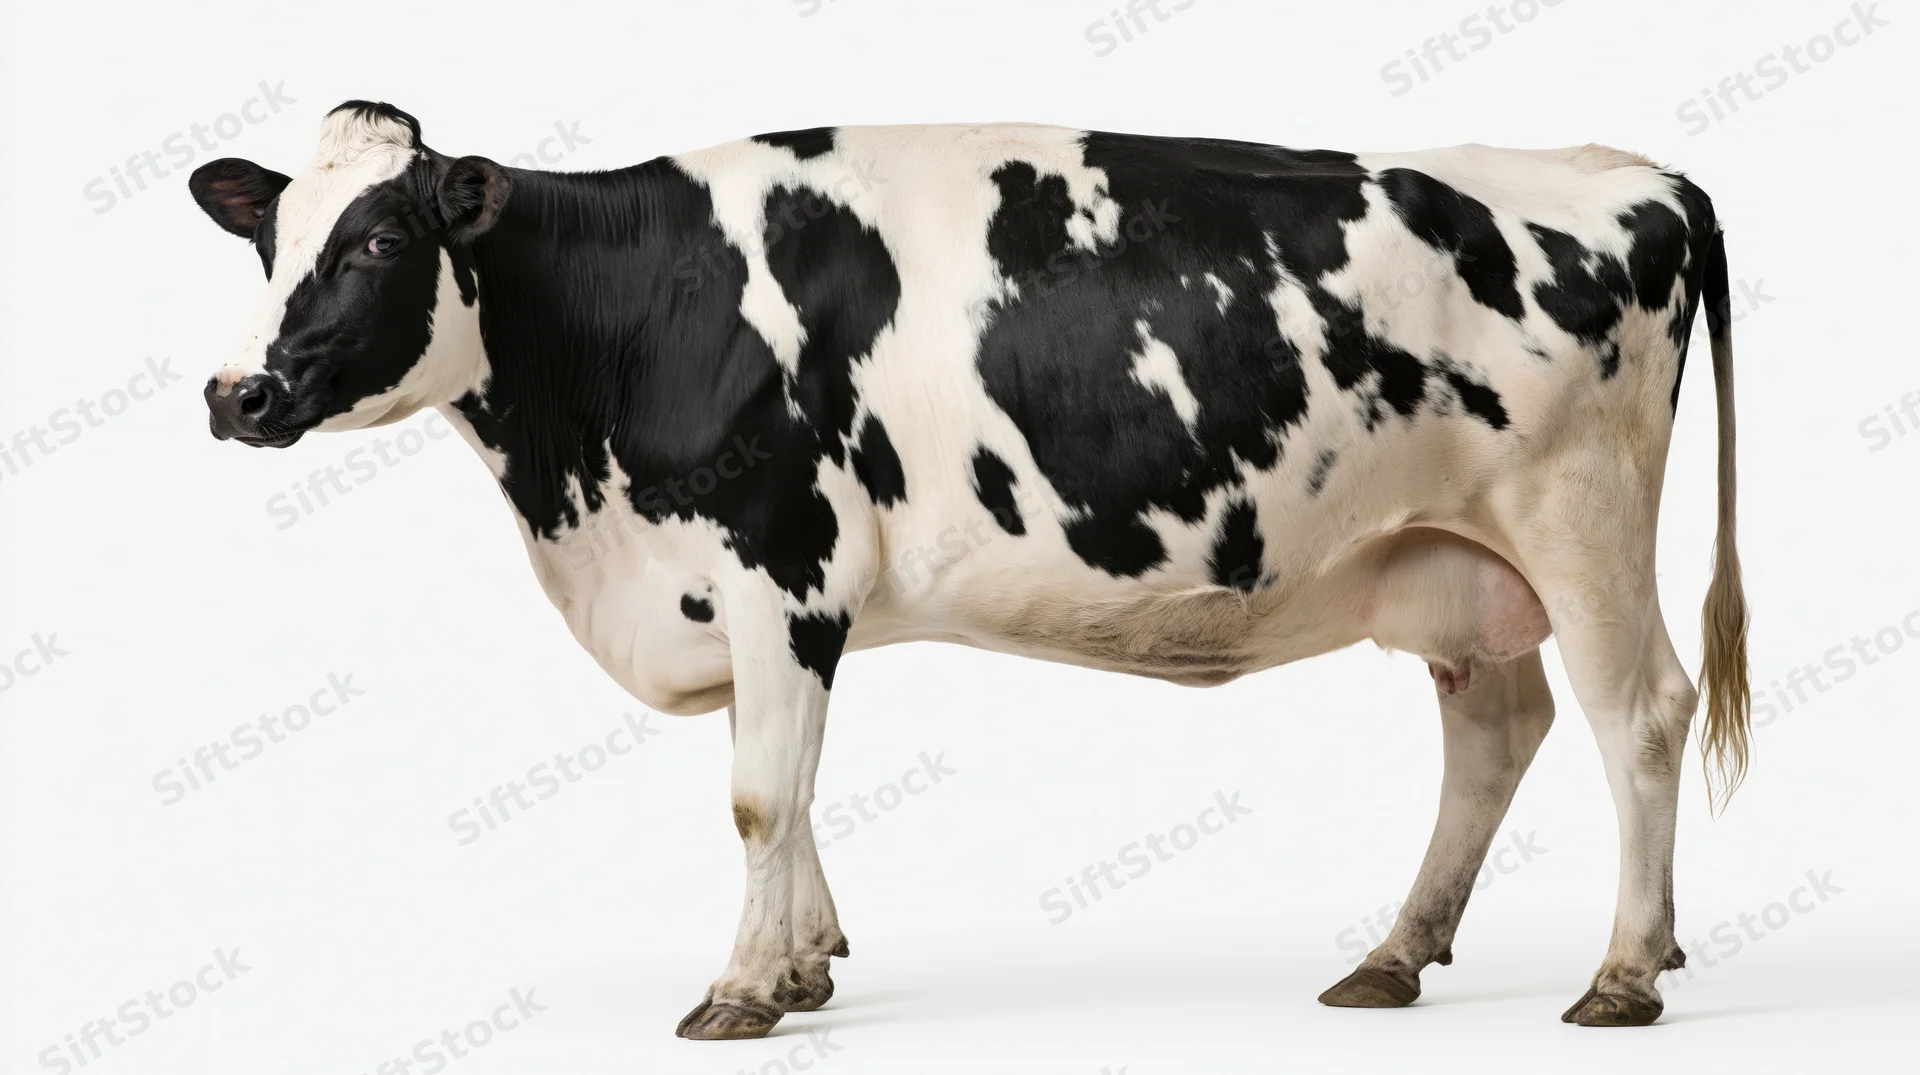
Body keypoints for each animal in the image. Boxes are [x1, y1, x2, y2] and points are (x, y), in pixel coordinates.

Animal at [189, 101, 1749, 1039]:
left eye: (379, 238)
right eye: (269, 240)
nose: (237, 393)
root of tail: (1633, 173)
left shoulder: (780, 565)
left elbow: (759, 794)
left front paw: (741, 989)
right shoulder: (773, 605)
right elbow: (795, 784)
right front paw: (807, 961)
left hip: (1581, 519)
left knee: (1640, 716)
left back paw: (1624, 971)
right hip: (1451, 557)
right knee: (1497, 729)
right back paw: (1392, 957)